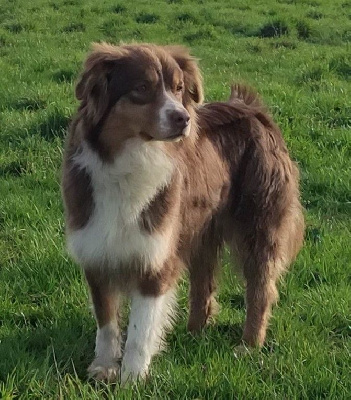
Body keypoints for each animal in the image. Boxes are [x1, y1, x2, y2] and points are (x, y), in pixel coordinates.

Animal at [61, 42, 306, 382]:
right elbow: (106, 320)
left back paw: (248, 345)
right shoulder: (96, 249)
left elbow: (140, 328)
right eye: (142, 88)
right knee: (204, 285)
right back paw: (194, 333)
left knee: (261, 289)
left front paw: (132, 378)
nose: (183, 118)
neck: (131, 158)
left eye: (178, 89)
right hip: (200, 228)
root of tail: (253, 108)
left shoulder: (155, 256)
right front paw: (104, 367)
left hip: (259, 224)